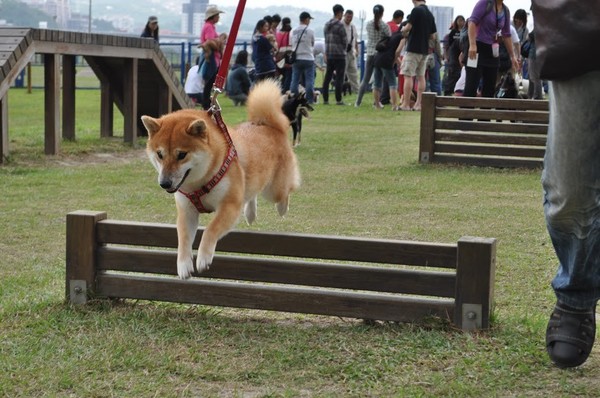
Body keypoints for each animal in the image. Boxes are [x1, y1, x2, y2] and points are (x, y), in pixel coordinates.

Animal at [141, 80, 300, 280]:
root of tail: (269, 126)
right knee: (251, 192)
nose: (164, 183)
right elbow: (183, 238)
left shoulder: (229, 205)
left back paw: (282, 208)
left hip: (273, 190)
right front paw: (183, 265)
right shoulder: (187, 211)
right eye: (159, 154)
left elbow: (211, 229)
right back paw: (250, 213)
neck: (200, 182)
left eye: (182, 155)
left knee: (285, 192)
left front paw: (203, 258)